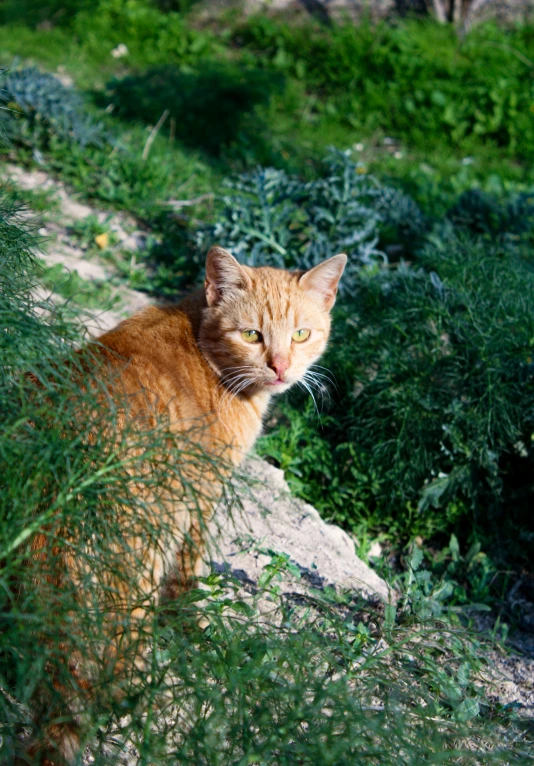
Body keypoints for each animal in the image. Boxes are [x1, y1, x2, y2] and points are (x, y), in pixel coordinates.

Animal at [22, 248, 348, 766]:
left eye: (301, 334)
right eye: (251, 335)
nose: (281, 368)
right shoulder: (203, 492)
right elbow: (189, 569)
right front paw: (191, 622)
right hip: (143, 552)